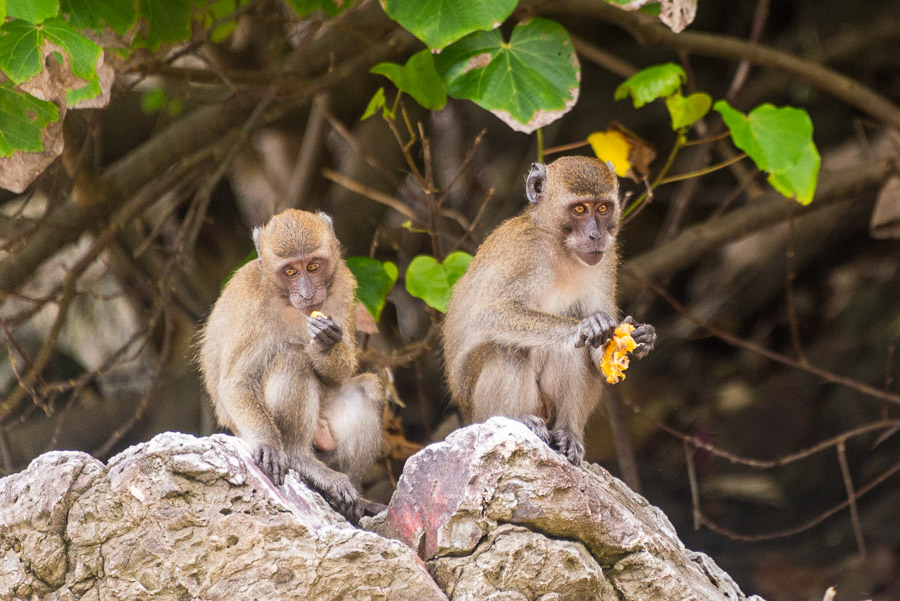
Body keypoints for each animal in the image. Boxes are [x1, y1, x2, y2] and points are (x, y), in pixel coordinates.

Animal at [199, 209, 384, 524]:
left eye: (312, 266)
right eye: (290, 272)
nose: (308, 294)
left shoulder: (343, 284)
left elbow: (342, 372)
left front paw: (326, 345)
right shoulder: (254, 309)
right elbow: (236, 383)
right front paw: (268, 445)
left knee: (368, 389)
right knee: (292, 358)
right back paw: (301, 459)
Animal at [442, 155, 652, 464]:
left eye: (603, 208)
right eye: (579, 209)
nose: (596, 235)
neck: (559, 245)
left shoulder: (606, 258)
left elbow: (601, 350)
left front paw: (641, 339)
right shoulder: (524, 251)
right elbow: (488, 315)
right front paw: (583, 326)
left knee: (572, 353)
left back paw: (567, 434)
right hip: (481, 409)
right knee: (505, 347)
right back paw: (518, 419)